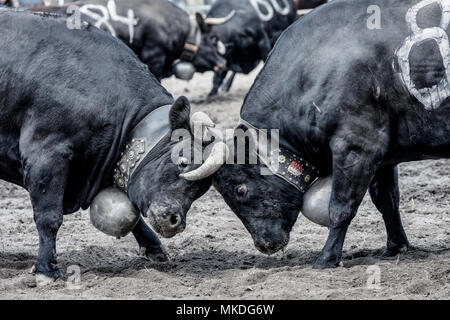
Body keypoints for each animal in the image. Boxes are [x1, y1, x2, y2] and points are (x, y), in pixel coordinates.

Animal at [0, 8, 221, 282]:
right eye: (182, 161)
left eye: (202, 189)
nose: (175, 221)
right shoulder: (44, 154)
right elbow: (49, 217)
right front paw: (46, 269)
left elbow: (133, 214)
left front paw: (154, 248)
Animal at [212, 0, 450, 270]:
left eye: (240, 190)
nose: (264, 245)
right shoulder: (384, 156)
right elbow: (387, 200)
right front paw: (395, 246)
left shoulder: (356, 147)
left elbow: (340, 207)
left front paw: (326, 258)